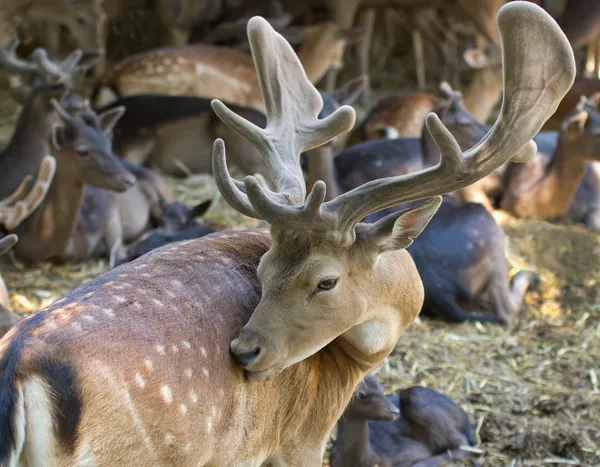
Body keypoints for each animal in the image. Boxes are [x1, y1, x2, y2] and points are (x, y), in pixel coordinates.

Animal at [330, 372, 476, 467]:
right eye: (362, 395)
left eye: (382, 388)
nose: (395, 411)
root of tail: (464, 416)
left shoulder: (408, 452)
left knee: (463, 444)